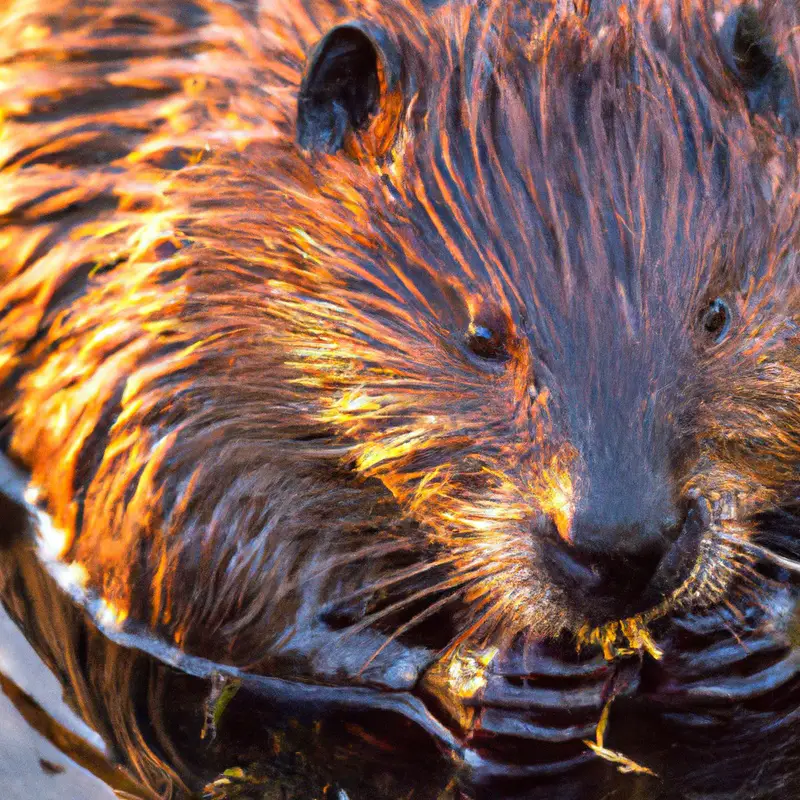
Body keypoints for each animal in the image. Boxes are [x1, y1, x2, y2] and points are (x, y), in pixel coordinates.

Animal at [1, 0, 800, 796]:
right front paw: (495, 680)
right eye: (480, 334)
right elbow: (155, 511)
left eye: (716, 314)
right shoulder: (162, 286)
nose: (621, 546)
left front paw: (749, 634)